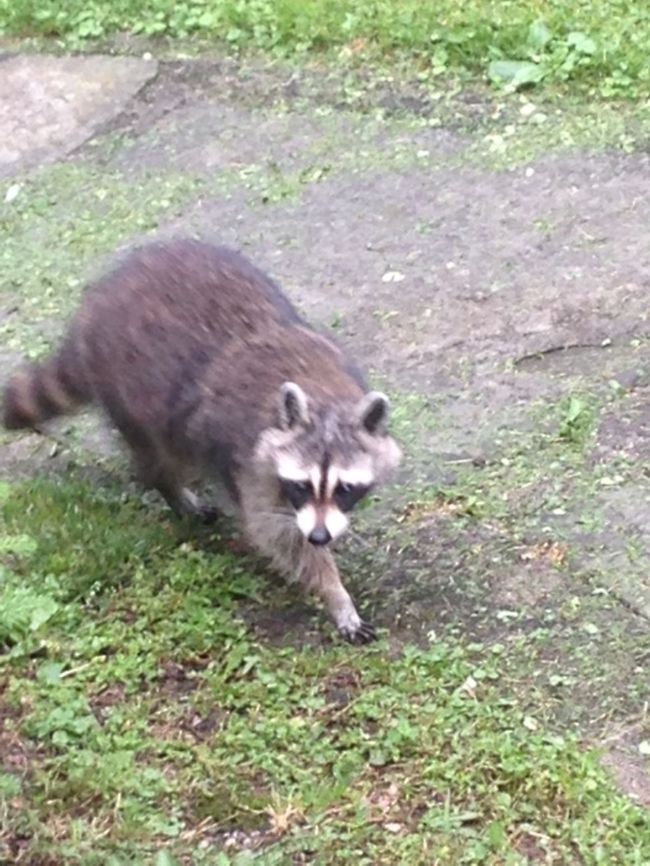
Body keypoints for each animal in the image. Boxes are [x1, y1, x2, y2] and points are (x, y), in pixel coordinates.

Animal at [2, 239, 401, 643]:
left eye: (344, 488)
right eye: (301, 485)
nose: (320, 536)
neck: (324, 398)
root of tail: (90, 311)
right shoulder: (248, 457)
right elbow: (272, 531)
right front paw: (335, 592)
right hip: (131, 392)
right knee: (160, 456)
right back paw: (172, 489)